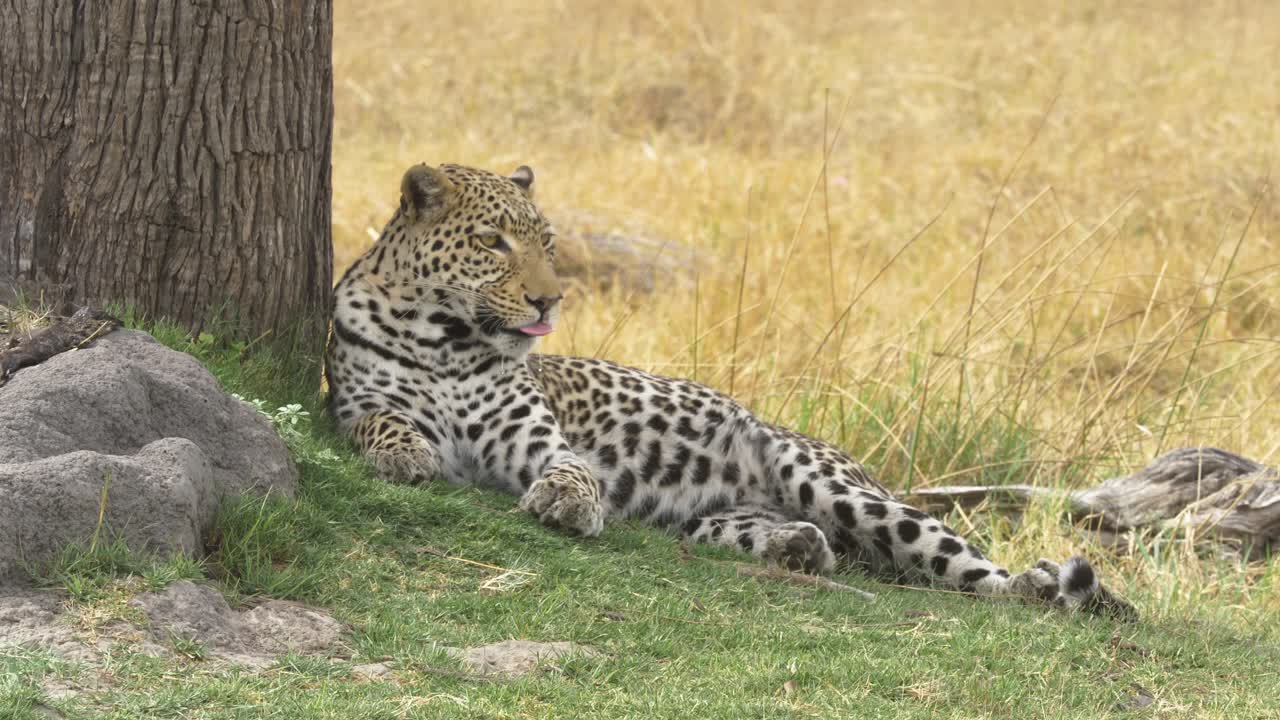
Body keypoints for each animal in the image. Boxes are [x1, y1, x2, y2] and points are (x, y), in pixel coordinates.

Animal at [326, 161, 1136, 621]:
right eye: (493, 242)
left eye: (547, 243)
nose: (550, 300)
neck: (446, 340)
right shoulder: (353, 399)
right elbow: (378, 422)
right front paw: (406, 453)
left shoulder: (539, 438)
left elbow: (570, 467)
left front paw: (569, 502)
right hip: (717, 522)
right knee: (827, 549)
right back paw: (798, 548)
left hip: (826, 478)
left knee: (961, 563)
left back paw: (1035, 588)